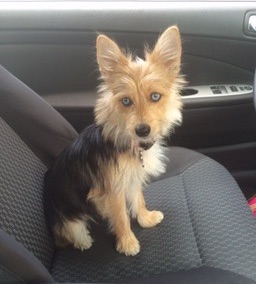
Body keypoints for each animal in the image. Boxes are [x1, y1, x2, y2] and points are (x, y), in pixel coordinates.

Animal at [43, 25, 184, 256]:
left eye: (155, 97)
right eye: (126, 101)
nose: (142, 130)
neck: (131, 144)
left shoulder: (131, 177)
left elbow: (138, 199)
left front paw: (145, 218)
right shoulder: (112, 189)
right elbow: (120, 217)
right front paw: (127, 243)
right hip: (65, 213)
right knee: (70, 231)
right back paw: (83, 240)